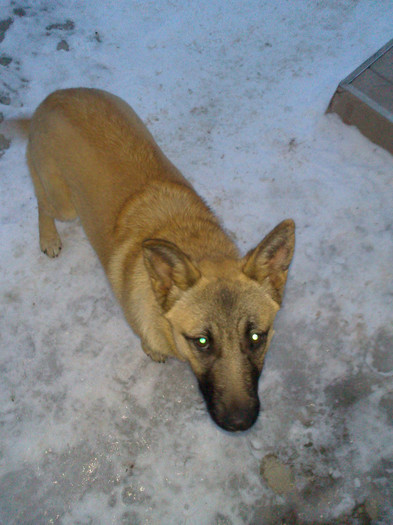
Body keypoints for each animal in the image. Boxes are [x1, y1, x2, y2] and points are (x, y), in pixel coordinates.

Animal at [25, 89, 294, 430]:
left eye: (257, 336)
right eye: (202, 342)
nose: (240, 423)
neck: (193, 241)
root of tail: (56, 95)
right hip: (64, 205)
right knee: (42, 202)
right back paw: (48, 237)